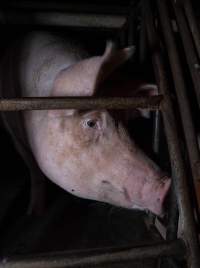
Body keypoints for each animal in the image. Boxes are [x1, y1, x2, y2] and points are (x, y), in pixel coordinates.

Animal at [0, 31, 170, 216]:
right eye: (91, 123)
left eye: (125, 121)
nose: (167, 185)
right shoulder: (14, 134)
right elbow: (34, 170)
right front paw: (34, 214)